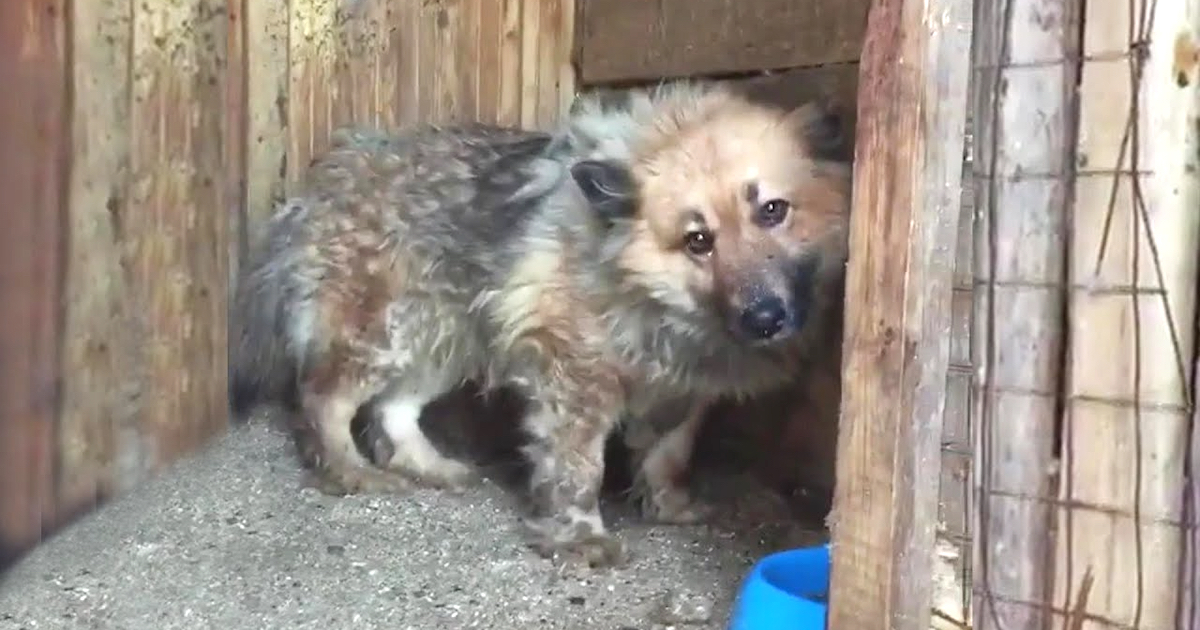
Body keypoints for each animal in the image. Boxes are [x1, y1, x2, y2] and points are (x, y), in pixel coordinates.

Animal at [229, 78, 854, 564]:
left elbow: (671, 453)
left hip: (442, 336)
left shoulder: (685, 386)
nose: (765, 318)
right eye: (697, 240)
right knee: (324, 399)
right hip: (384, 332)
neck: (648, 296)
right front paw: (580, 536)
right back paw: (349, 470)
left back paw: (432, 466)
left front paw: (668, 504)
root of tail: (325, 180)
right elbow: (578, 468)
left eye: (773, 210)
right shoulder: (574, 373)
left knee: (393, 409)